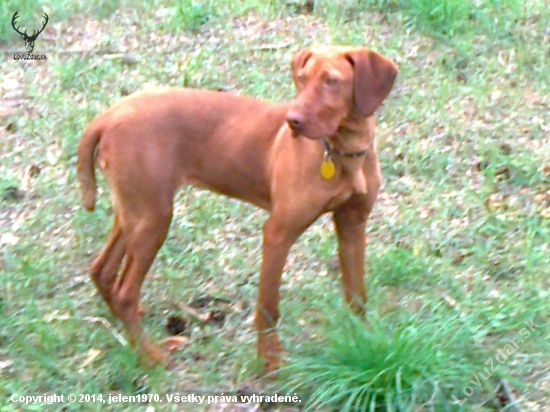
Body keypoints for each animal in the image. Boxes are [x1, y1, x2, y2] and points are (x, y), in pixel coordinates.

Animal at [76, 45, 396, 374]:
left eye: (332, 81)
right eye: (302, 78)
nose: (292, 121)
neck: (344, 152)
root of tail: (108, 116)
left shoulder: (353, 224)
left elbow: (357, 295)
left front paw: (361, 340)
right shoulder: (278, 232)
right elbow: (268, 306)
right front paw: (269, 361)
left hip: (135, 213)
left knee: (102, 272)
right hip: (153, 217)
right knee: (124, 292)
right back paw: (148, 355)